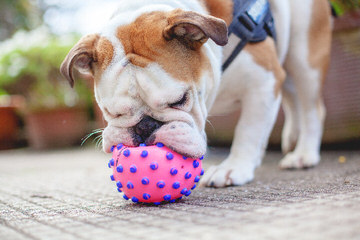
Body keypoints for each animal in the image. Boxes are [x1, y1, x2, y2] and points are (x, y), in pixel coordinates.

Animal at [59, 0, 332, 188]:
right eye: (110, 112)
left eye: (180, 100)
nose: (146, 126)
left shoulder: (263, 81)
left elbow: (249, 131)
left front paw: (233, 168)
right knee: (292, 96)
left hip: (304, 56)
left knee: (312, 108)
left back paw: (303, 154)